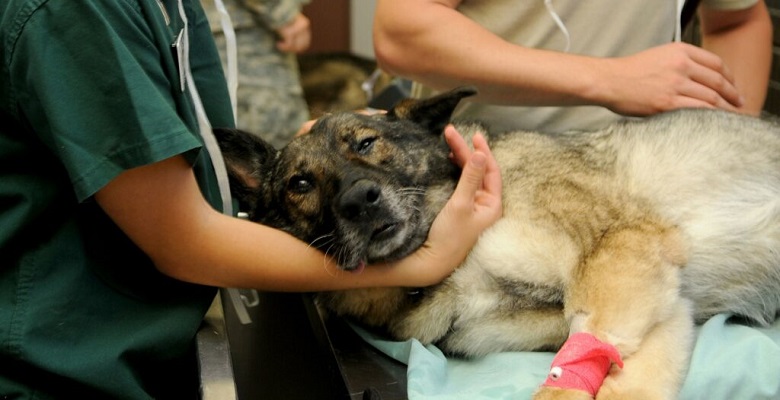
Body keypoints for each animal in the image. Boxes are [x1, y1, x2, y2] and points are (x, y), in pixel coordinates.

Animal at [216, 88, 780, 400]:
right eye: (300, 184)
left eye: (366, 143)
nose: (360, 200)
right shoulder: (660, 304)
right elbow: (618, 372)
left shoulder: (621, 251)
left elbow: (584, 363)